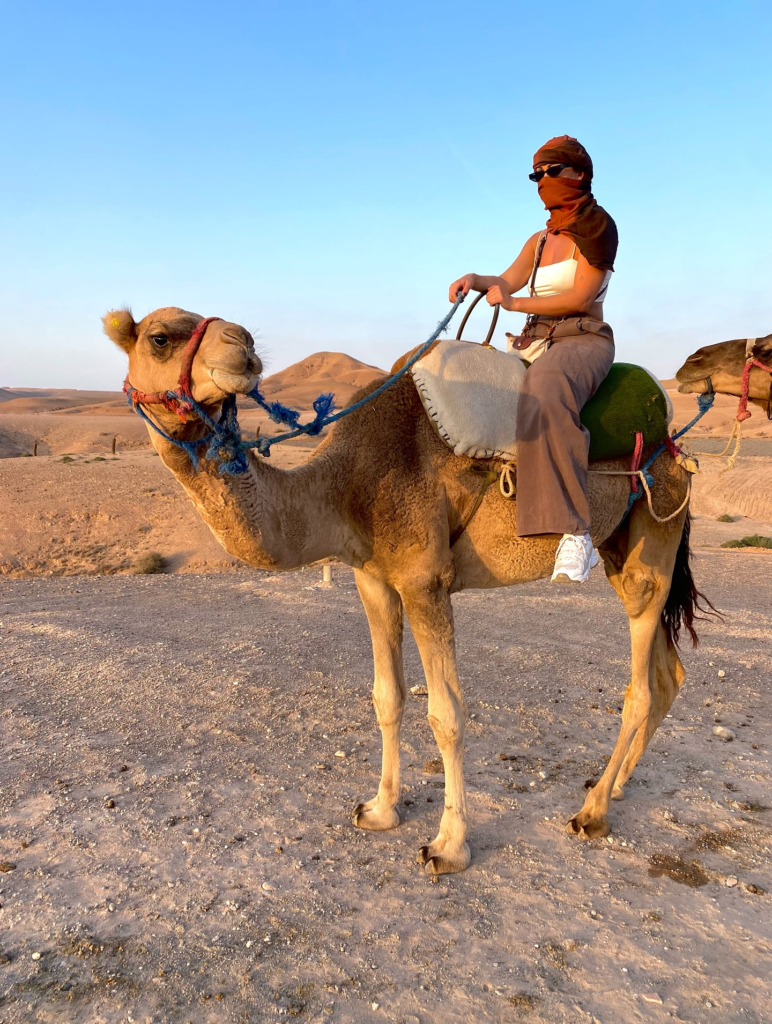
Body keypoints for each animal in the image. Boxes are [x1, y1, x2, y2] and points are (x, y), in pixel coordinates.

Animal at [104, 306, 708, 875]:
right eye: (161, 337)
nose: (243, 344)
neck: (347, 485)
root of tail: (672, 439)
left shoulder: (425, 581)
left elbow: (446, 713)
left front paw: (449, 846)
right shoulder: (372, 577)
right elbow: (387, 696)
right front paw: (379, 809)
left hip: (656, 526)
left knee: (639, 685)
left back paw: (593, 811)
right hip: (619, 545)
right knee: (668, 671)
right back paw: (618, 786)